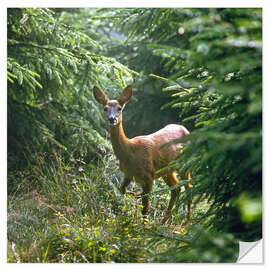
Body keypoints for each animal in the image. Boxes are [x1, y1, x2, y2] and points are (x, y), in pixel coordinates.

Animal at [93, 85, 192, 223]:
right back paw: (163, 222)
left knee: (189, 188)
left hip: (184, 164)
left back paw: (188, 221)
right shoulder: (128, 174)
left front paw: (144, 225)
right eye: (105, 108)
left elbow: (145, 208)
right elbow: (121, 189)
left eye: (119, 108)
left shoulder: (149, 175)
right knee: (176, 188)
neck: (130, 153)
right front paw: (135, 195)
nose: (112, 119)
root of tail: (187, 130)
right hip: (167, 170)